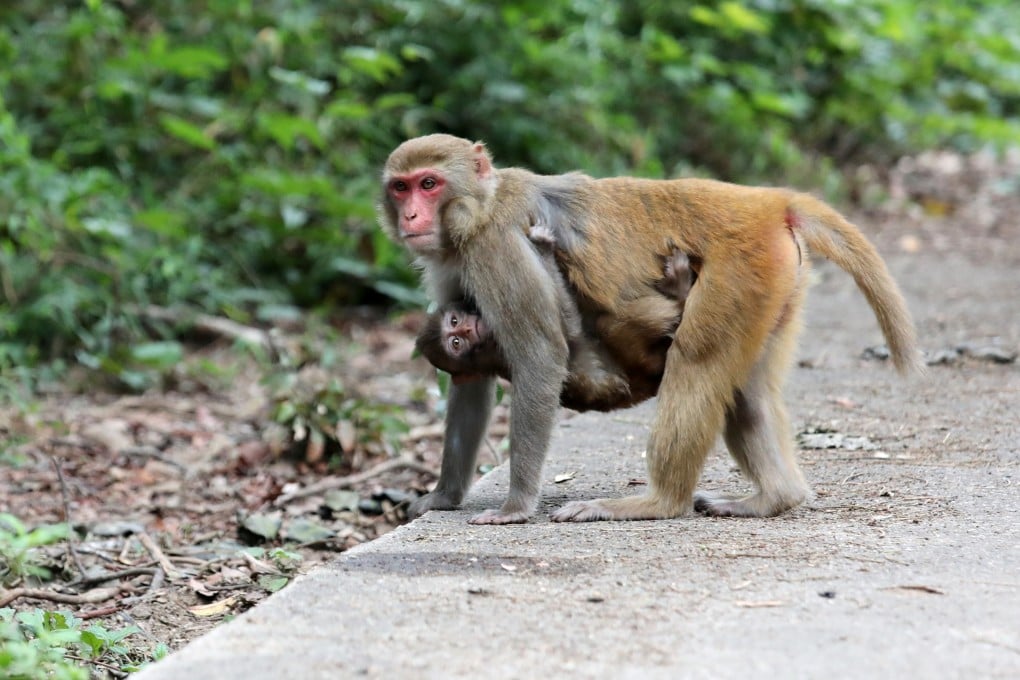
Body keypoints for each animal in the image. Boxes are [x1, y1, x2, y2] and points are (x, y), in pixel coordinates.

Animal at [379, 134, 921, 525]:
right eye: (400, 187)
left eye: (429, 184)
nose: (410, 216)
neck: (480, 210)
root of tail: (767, 202)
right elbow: (471, 382)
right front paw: (443, 496)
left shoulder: (495, 249)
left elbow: (541, 355)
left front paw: (514, 508)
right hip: (778, 284)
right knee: (746, 393)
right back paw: (773, 498)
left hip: (742, 271)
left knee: (697, 363)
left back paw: (658, 502)